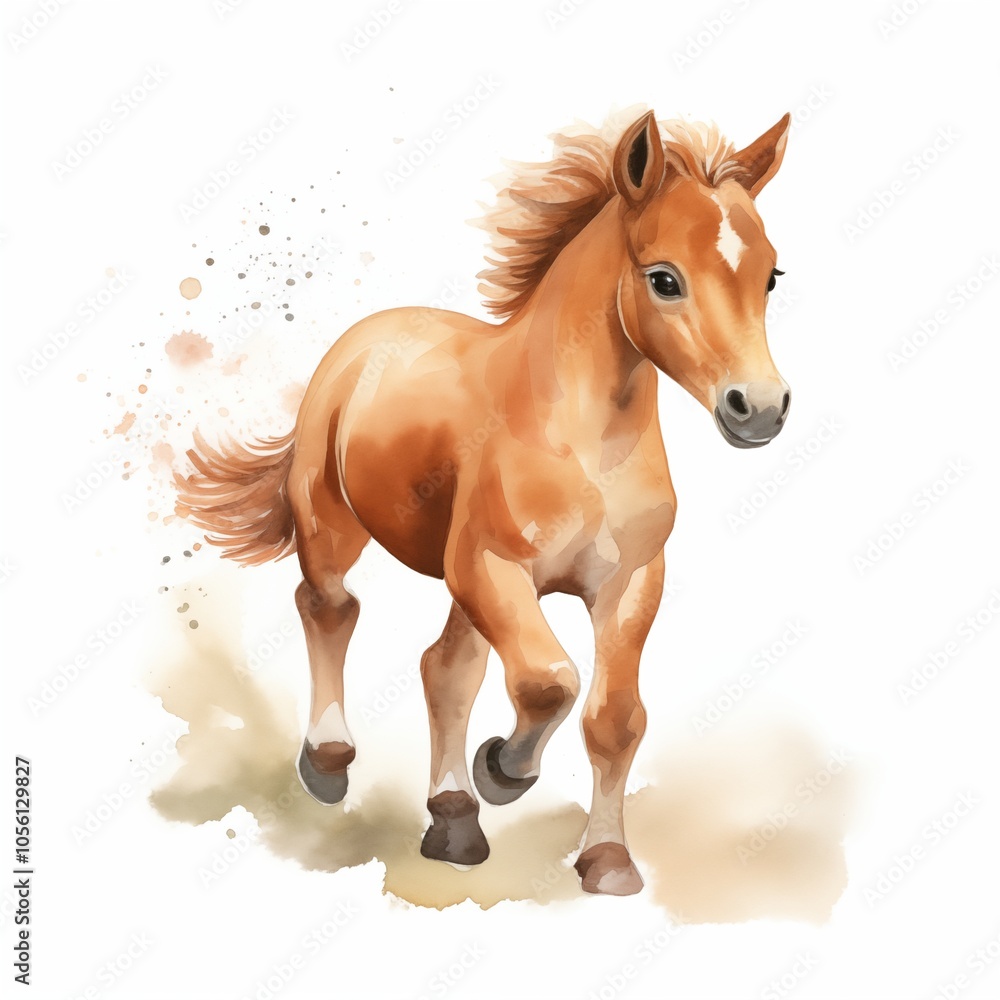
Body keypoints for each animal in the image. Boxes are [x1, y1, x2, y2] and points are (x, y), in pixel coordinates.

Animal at [176, 107, 793, 896]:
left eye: (770, 275)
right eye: (663, 279)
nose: (760, 409)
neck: (582, 445)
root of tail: (366, 337)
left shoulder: (629, 582)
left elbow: (614, 716)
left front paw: (607, 859)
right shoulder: (492, 568)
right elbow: (548, 682)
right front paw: (504, 768)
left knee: (444, 667)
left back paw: (453, 821)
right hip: (335, 525)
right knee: (330, 608)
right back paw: (331, 764)